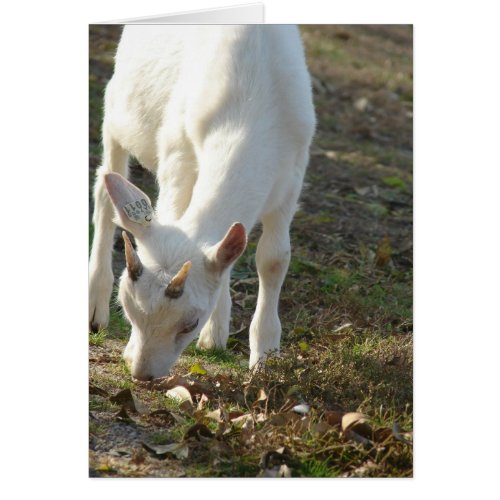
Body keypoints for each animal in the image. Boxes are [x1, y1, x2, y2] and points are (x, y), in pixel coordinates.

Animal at [89, 25, 314, 378]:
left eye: (189, 323)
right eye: (129, 310)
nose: (142, 373)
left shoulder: (292, 176)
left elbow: (273, 258)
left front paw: (265, 356)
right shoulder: (177, 150)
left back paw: (216, 335)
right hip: (117, 107)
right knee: (104, 187)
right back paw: (95, 308)